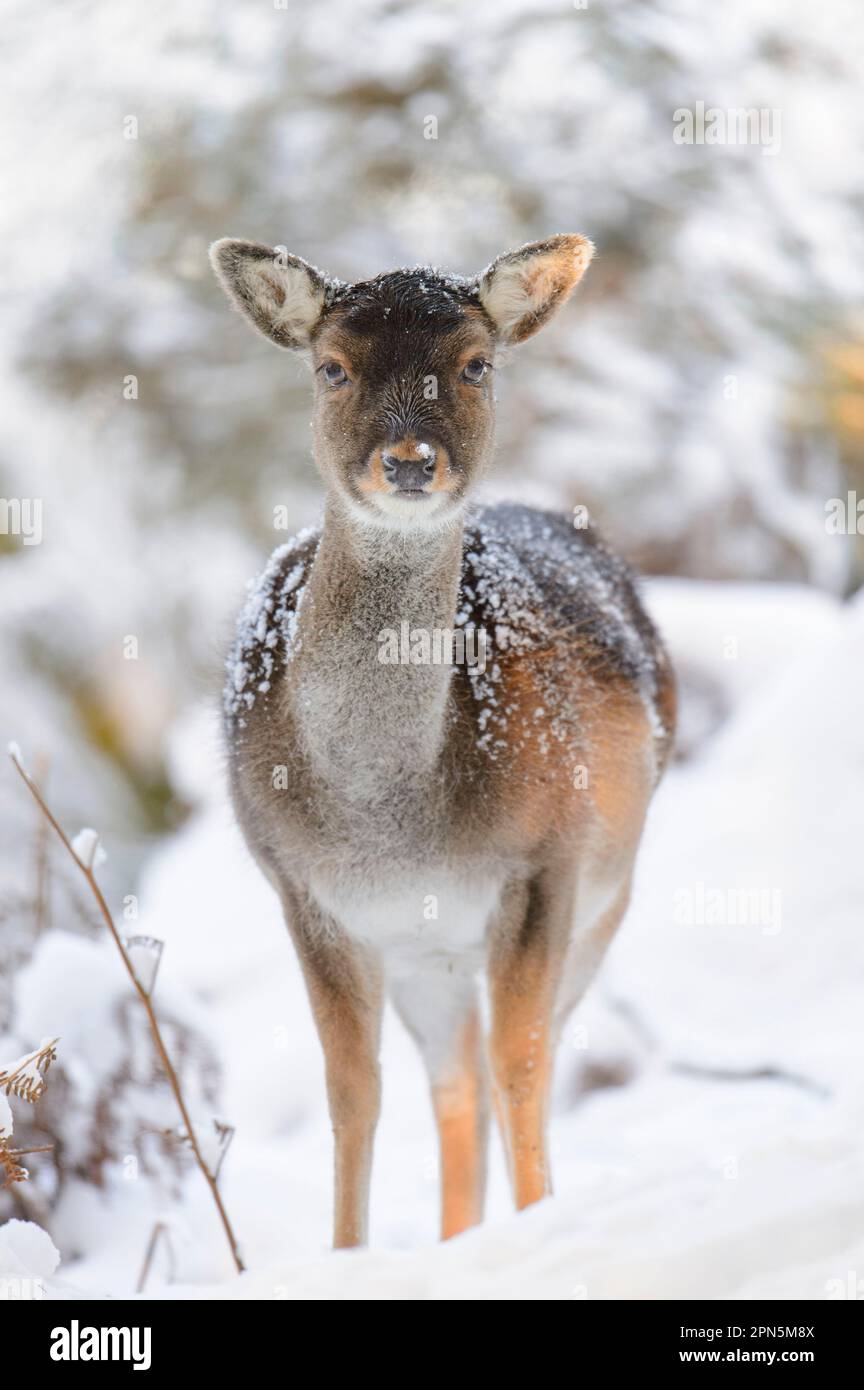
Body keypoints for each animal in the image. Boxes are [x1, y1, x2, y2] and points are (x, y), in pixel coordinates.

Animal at [209, 230, 677, 1251]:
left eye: (474, 364)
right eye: (332, 367)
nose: (411, 462)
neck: (390, 818)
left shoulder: (545, 862)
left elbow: (525, 1068)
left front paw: (539, 1229)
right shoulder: (302, 890)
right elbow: (353, 1094)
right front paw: (346, 1256)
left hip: (605, 901)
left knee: (508, 1070)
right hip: (431, 957)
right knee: (452, 1086)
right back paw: (458, 1238)